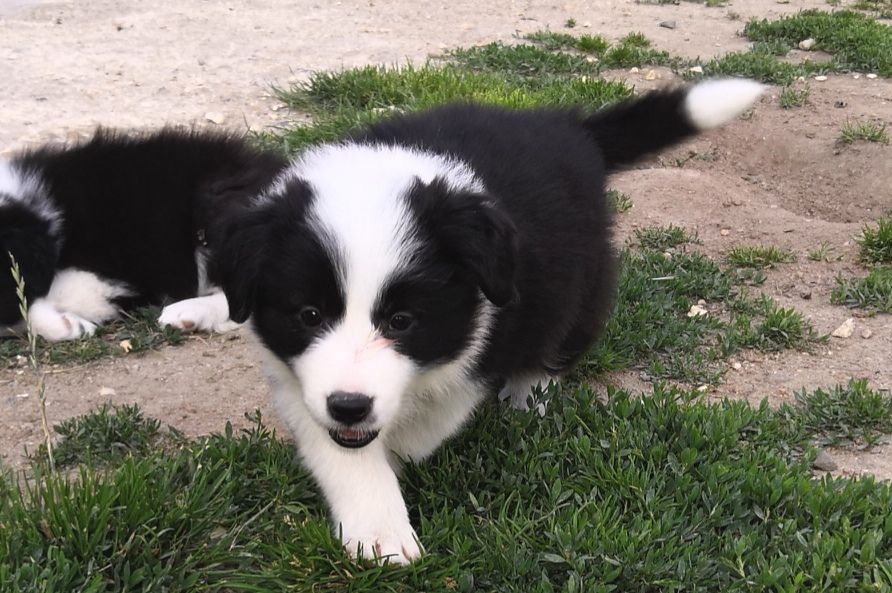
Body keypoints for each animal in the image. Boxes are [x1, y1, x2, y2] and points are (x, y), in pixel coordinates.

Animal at [214, 79, 765, 564]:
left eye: (402, 320)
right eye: (308, 315)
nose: (349, 406)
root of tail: (566, 126)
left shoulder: (485, 338)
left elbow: (431, 418)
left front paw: (392, 487)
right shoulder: (296, 376)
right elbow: (339, 448)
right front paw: (378, 527)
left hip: (580, 277)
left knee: (561, 338)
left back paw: (529, 392)